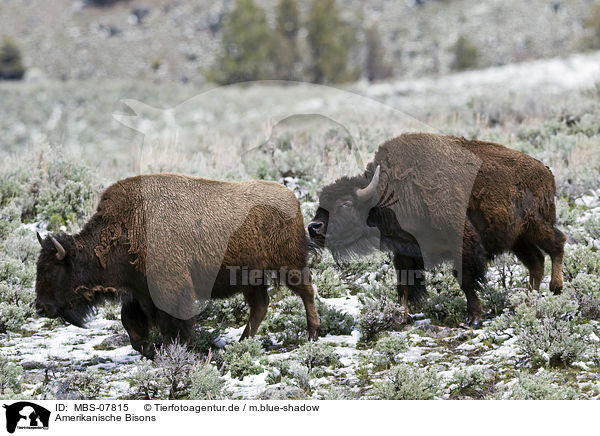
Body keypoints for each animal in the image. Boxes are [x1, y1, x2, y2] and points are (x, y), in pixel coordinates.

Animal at [35, 174, 322, 358]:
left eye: (51, 270)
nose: (41, 308)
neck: (125, 227)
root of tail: (292, 200)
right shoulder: (137, 293)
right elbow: (131, 324)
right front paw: (152, 351)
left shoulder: (169, 291)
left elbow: (170, 325)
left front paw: (172, 349)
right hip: (252, 278)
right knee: (260, 306)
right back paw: (241, 343)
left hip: (289, 266)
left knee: (306, 293)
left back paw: (313, 334)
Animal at [310, 133, 568, 328]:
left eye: (345, 204)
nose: (314, 227)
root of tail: (546, 172)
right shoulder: (404, 251)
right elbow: (403, 284)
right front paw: (399, 318)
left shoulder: (462, 243)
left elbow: (465, 280)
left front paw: (474, 318)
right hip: (517, 239)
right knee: (536, 261)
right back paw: (527, 301)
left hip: (535, 228)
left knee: (557, 244)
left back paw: (555, 288)